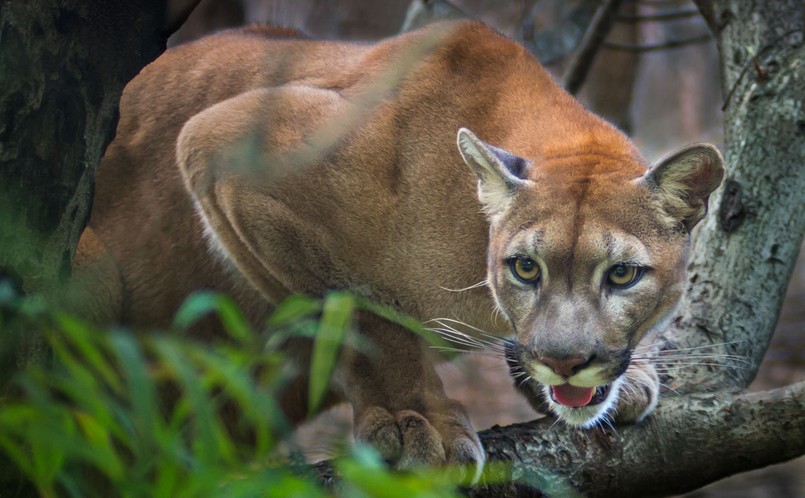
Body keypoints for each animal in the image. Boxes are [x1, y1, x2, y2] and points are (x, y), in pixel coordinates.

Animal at [75, 21, 724, 476]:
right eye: (525, 268)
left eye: (622, 275)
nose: (565, 362)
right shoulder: (224, 149)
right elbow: (360, 314)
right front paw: (417, 421)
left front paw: (624, 378)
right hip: (91, 269)